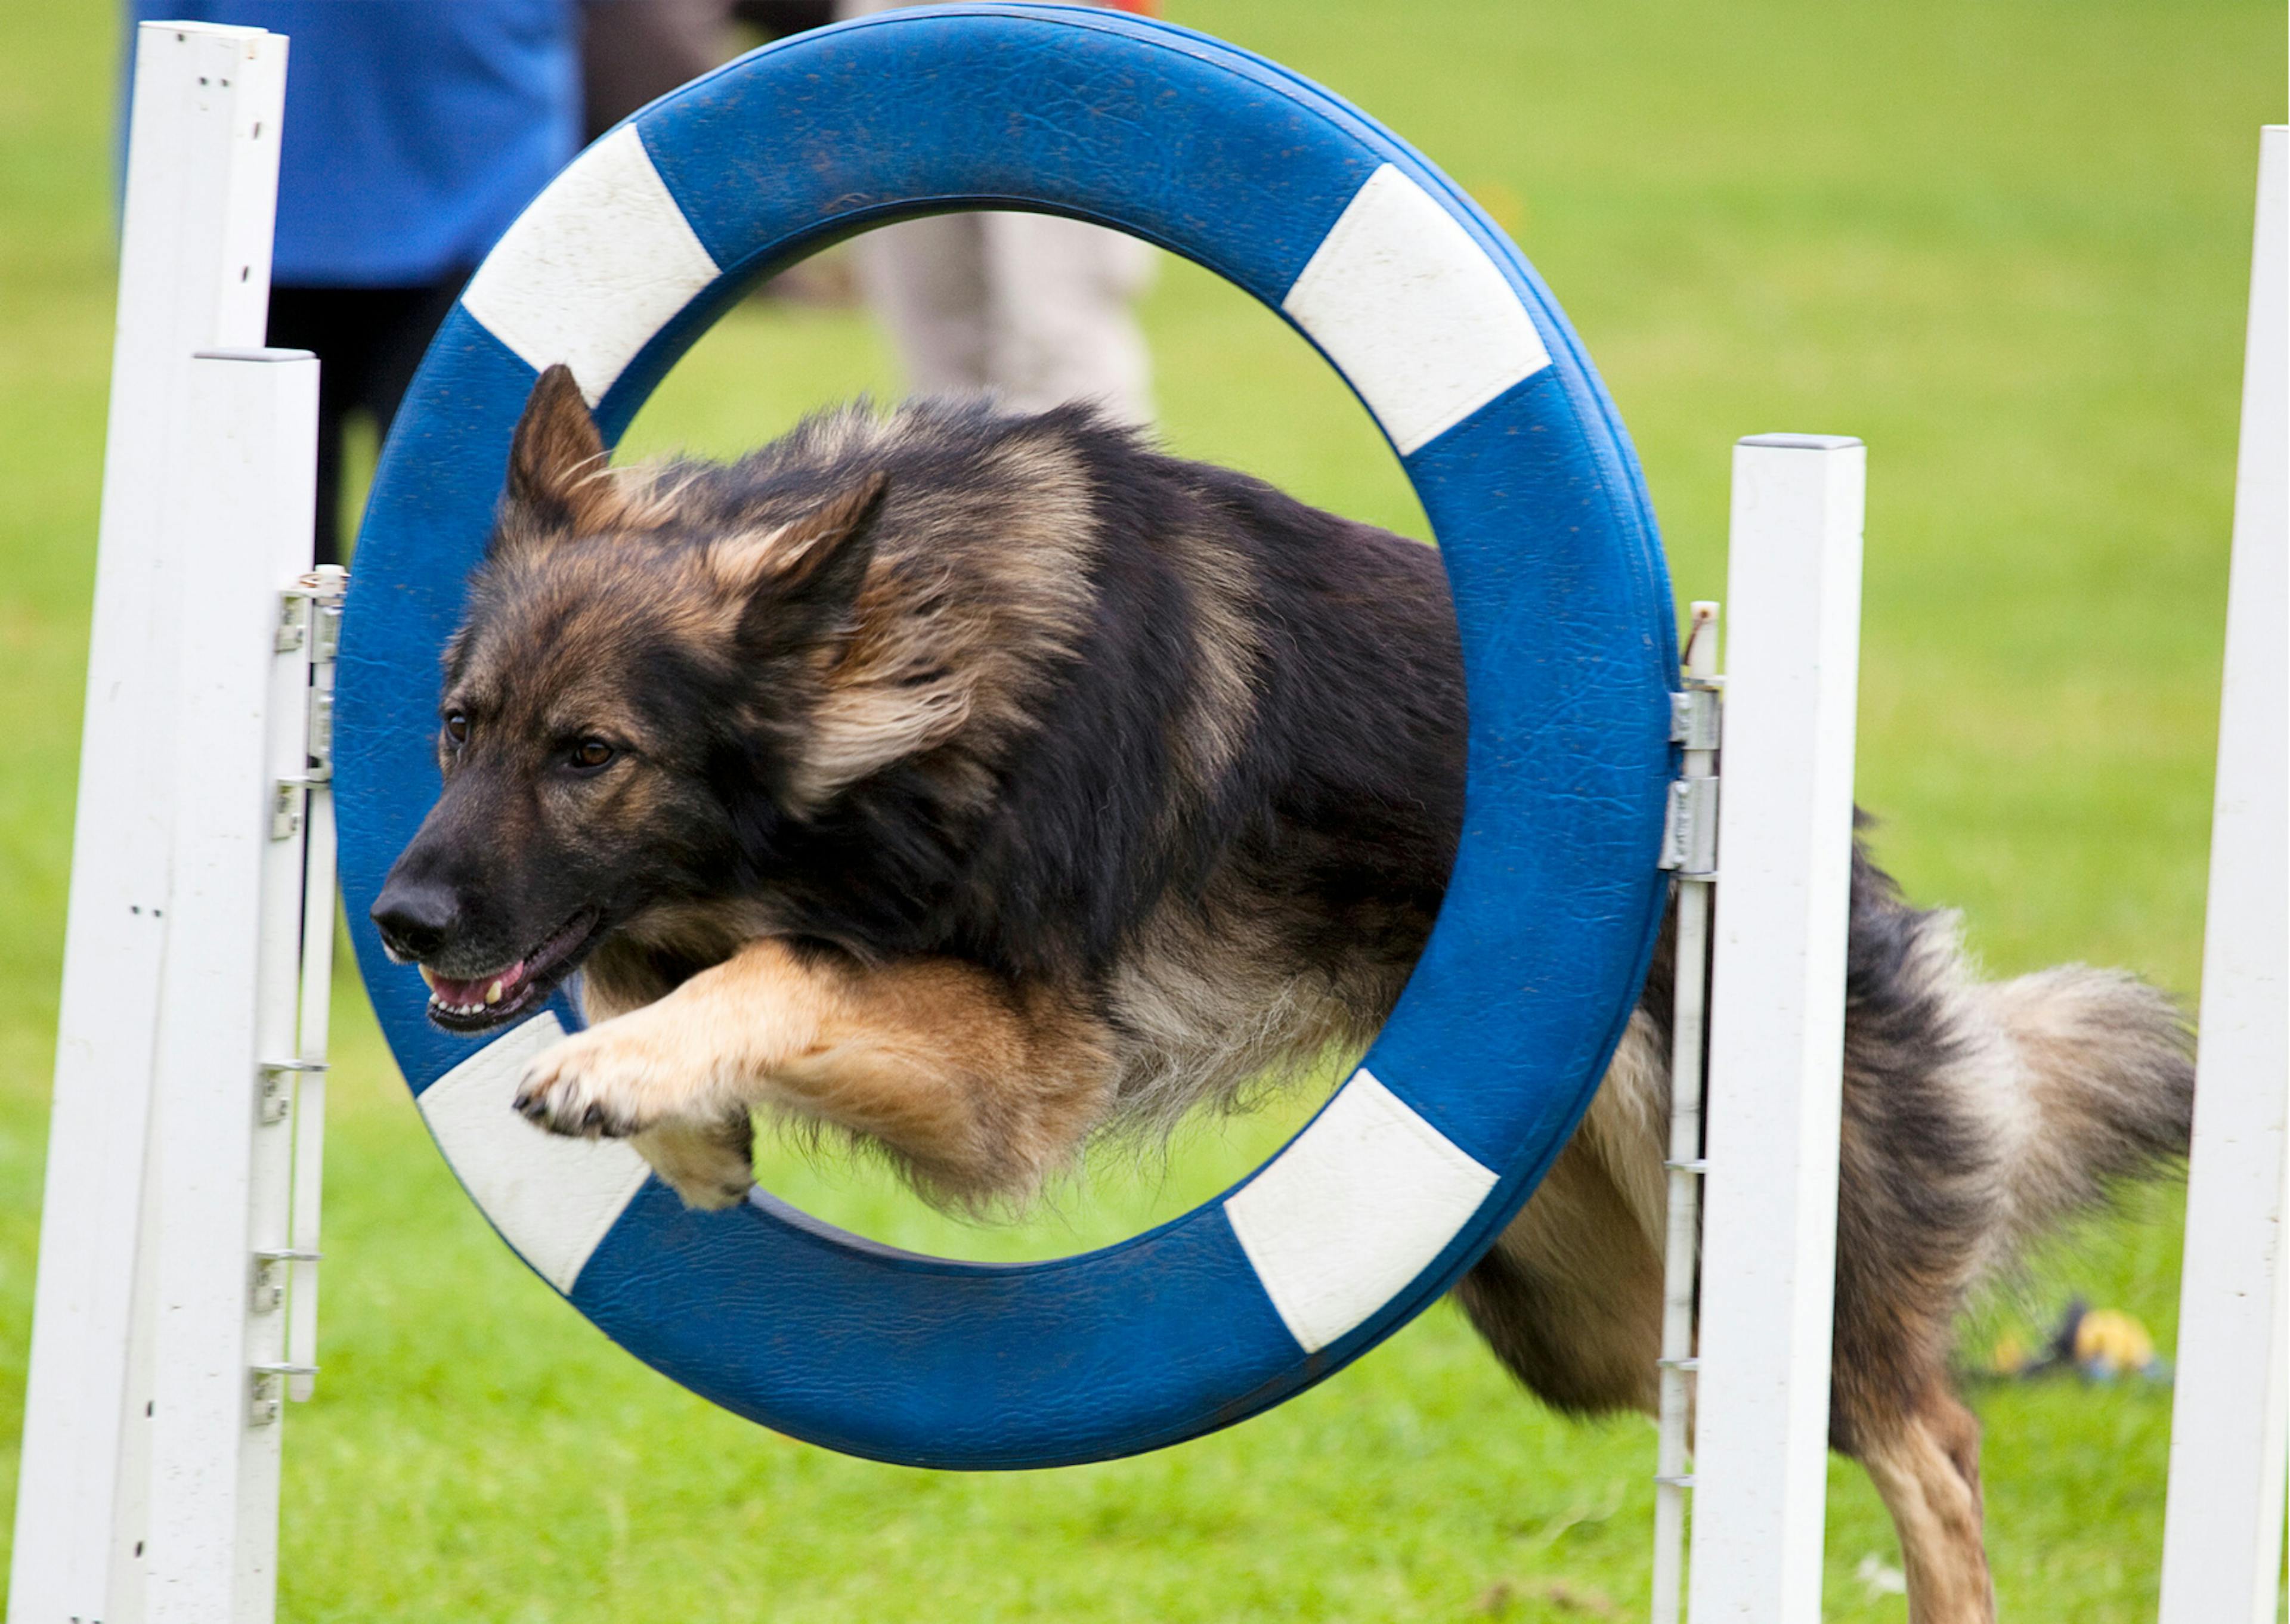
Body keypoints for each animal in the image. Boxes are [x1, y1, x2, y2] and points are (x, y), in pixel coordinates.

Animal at [380, 362, 2198, 1612]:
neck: (907, 662)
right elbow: (664, 958)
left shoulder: (1020, 1054)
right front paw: (681, 1120)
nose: (397, 922)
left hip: (1782, 1256)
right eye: (460, 728)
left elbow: (769, 965)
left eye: (591, 755)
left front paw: (631, 1075)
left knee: (1934, 1441)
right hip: (1590, 1311)